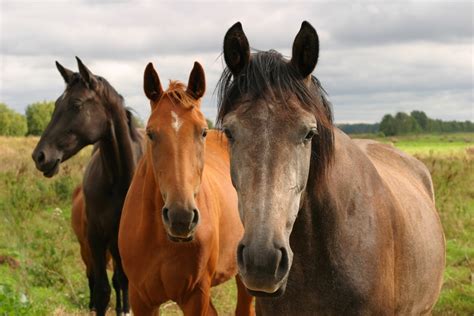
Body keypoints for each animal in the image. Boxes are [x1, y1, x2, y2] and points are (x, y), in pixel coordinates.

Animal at [31, 58, 143, 314]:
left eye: (77, 104)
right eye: (56, 104)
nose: (39, 156)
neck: (120, 182)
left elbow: (125, 284)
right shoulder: (96, 238)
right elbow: (102, 291)